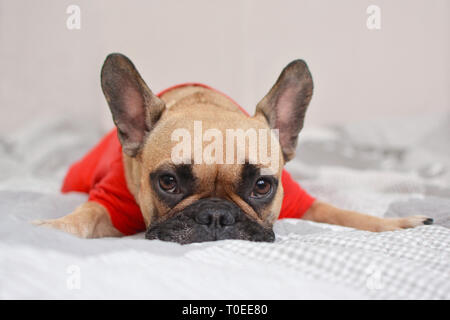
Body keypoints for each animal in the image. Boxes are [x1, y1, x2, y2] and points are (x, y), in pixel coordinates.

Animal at [33, 53, 434, 242]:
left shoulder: (303, 201)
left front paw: (396, 223)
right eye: (168, 183)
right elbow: (84, 216)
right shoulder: (110, 202)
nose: (216, 216)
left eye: (262, 186)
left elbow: (343, 213)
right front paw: (50, 227)